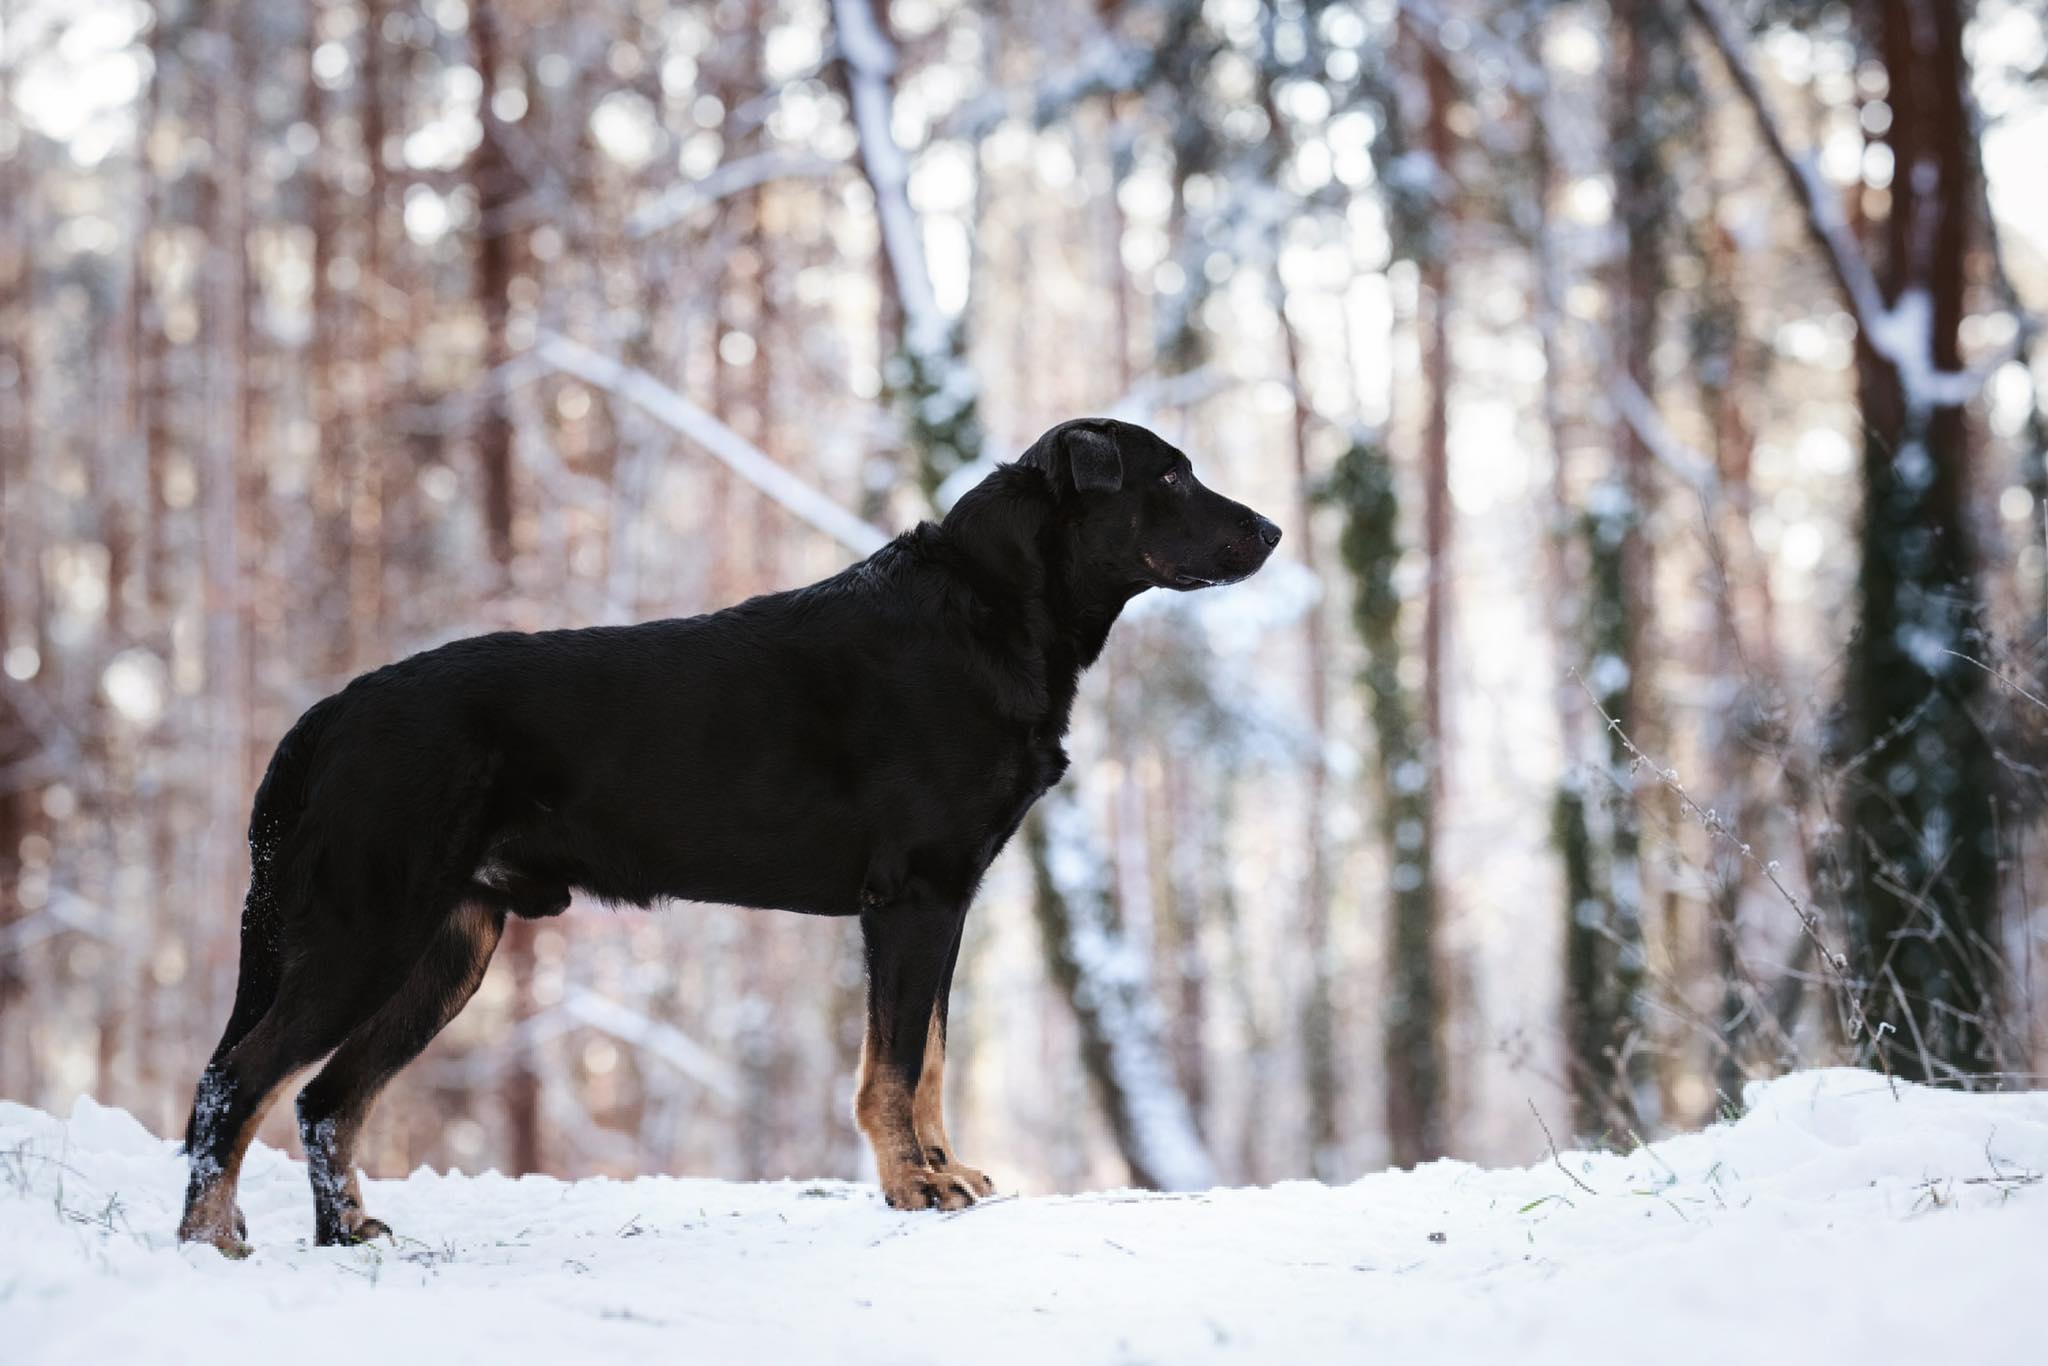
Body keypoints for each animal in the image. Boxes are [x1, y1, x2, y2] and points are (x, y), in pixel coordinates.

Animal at [176, 419, 1269, 1261]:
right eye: (1169, 475)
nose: (1271, 527)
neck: (990, 609)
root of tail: (328, 714)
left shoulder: (948, 901)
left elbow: (927, 1057)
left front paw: (942, 1168)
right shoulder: (911, 899)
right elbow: (892, 1065)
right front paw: (913, 1187)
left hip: (447, 949)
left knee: (325, 1098)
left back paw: (342, 1235)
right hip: (369, 929)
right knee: (237, 1081)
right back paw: (208, 1243)